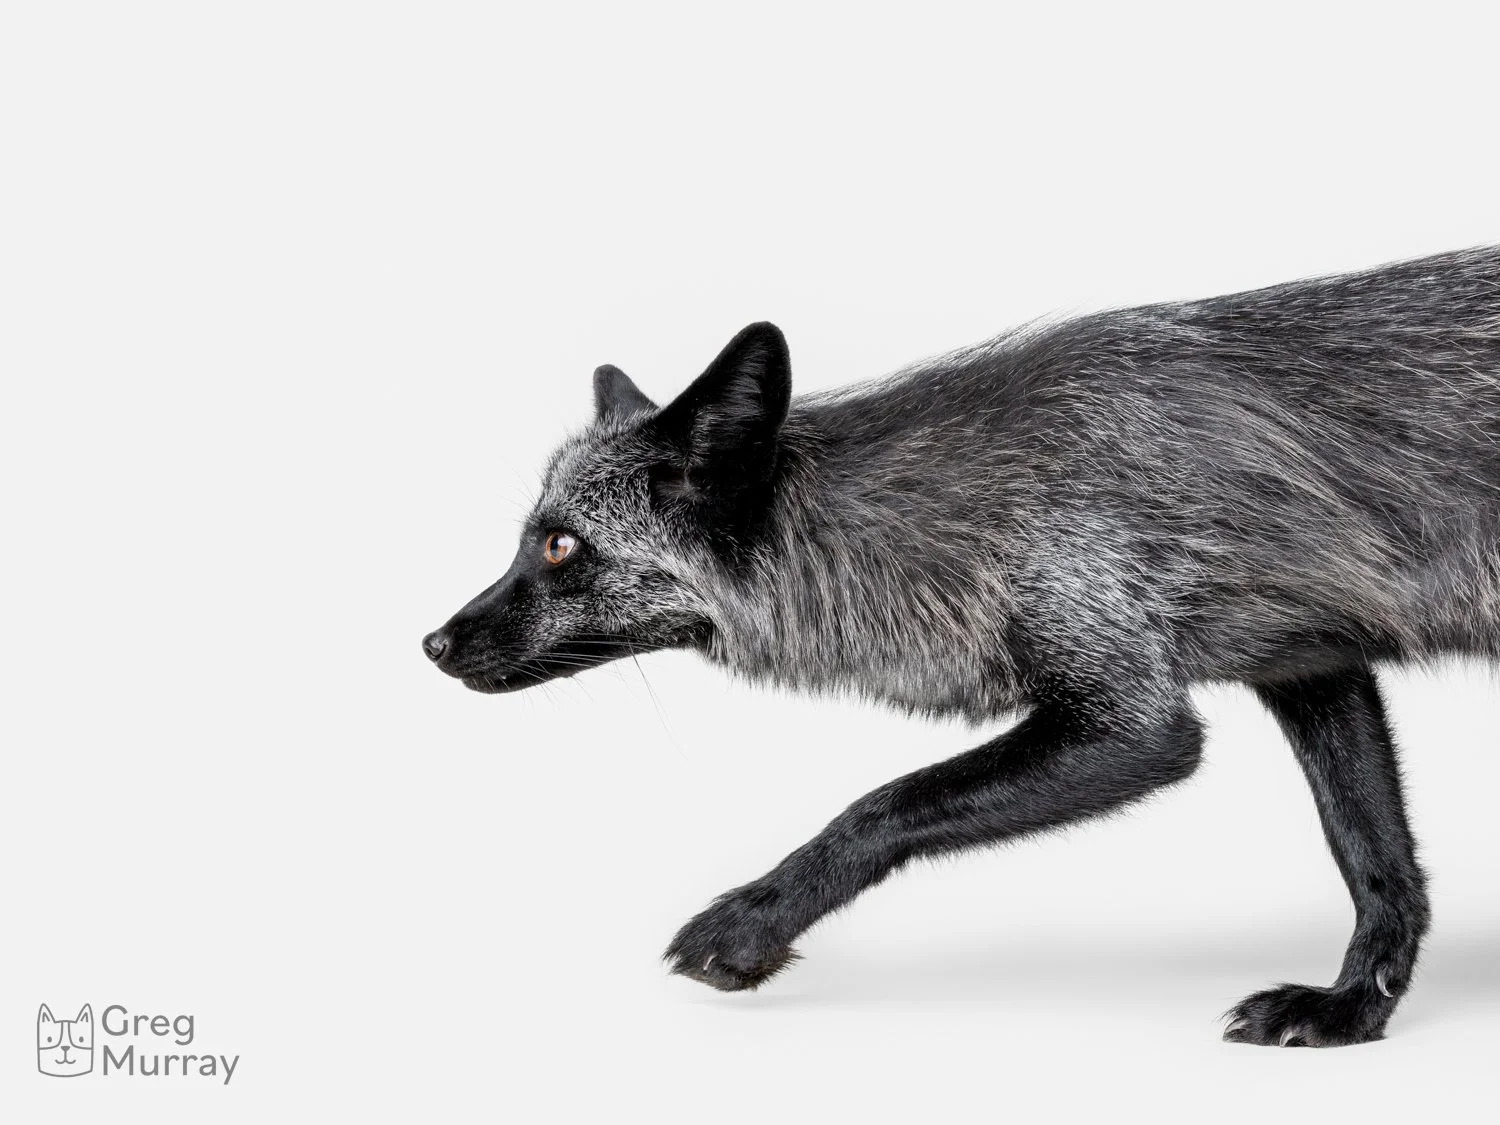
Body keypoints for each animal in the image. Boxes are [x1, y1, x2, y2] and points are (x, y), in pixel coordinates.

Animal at [423, 247, 1500, 1047]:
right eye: (533, 538)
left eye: (560, 546)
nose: (432, 642)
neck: (971, 509)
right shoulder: (1310, 664)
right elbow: (1377, 861)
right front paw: (1355, 1010)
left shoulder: (1132, 718)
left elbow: (887, 801)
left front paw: (753, 924)